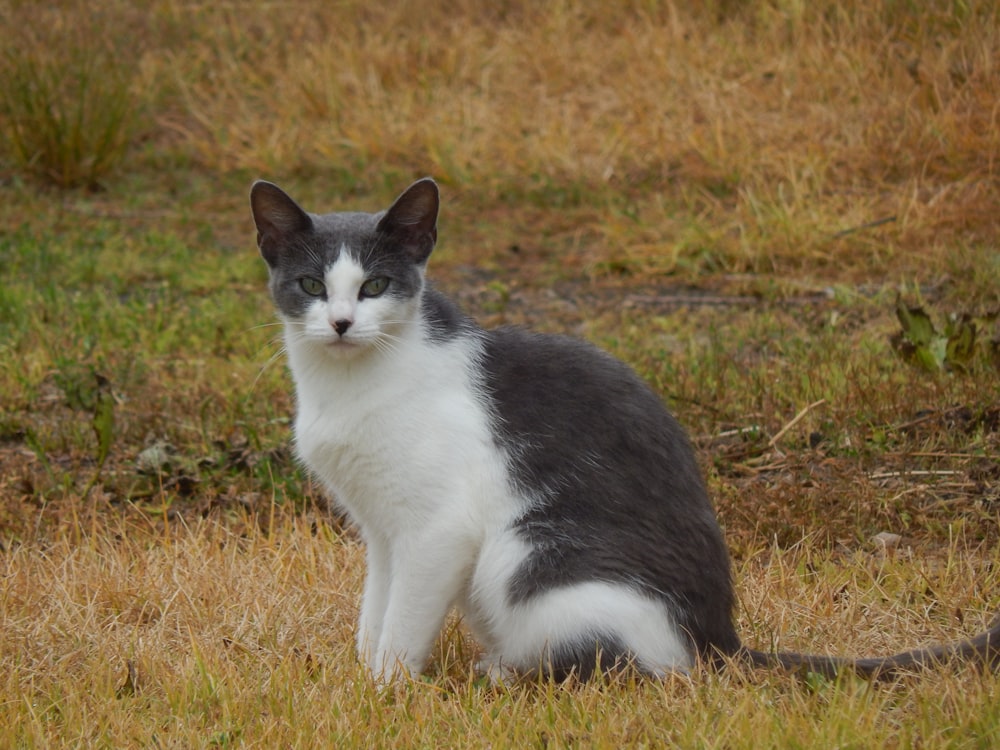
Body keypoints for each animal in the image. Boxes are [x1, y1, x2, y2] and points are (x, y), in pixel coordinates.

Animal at [252, 178, 1000, 688]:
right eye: (311, 284)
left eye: (376, 285)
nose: (341, 323)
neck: (351, 384)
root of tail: (719, 640)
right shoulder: (383, 530)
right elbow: (376, 605)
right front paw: (358, 673)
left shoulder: (438, 530)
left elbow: (404, 620)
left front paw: (385, 687)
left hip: (528, 558)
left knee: (633, 666)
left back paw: (506, 674)